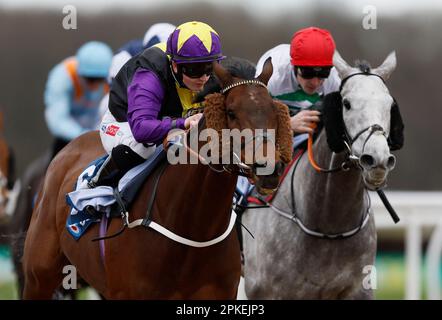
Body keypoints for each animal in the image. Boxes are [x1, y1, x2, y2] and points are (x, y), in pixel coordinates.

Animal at [242, 51, 404, 298]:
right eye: (346, 104)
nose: (377, 160)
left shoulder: (358, 289)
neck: (328, 225)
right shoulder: (266, 290)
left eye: (390, 105)